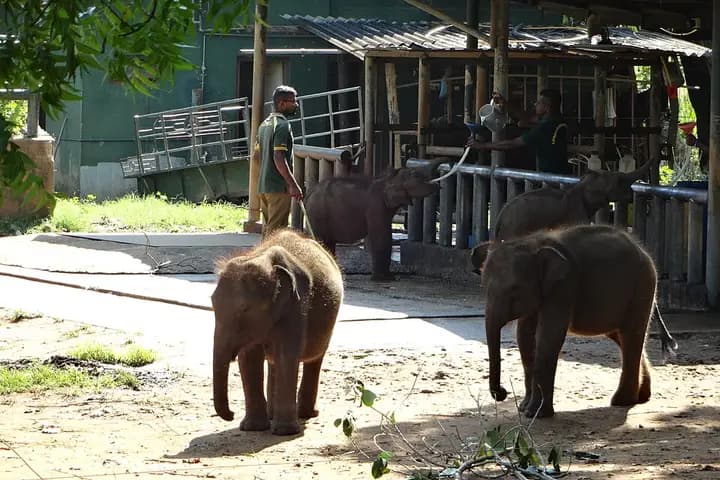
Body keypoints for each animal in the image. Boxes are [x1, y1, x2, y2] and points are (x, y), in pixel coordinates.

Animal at [211, 229, 343, 435]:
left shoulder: (296, 306)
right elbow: (248, 359)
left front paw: (285, 432)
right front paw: (252, 428)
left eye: (244, 309)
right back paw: (272, 415)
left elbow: (286, 355)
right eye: (212, 304)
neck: (262, 258)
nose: (231, 414)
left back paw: (306, 414)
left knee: (314, 358)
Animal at [303, 165, 440, 281]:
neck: (388, 179)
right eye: (416, 176)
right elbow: (382, 236)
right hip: (318, 214)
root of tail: (308, 194)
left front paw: (389, 277)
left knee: (328, 243)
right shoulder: (376, 206)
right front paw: (384, 279)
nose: (437, 184)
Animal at [472, 224, 677, 418]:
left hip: (642, 288)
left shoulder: (564, 287)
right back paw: (641, 397)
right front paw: (524, 409)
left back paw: (622, 401)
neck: (533, 243)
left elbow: (549, 336)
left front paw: (536, 414)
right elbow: (524, 337)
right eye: (484, 286)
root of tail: (643, 250)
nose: (502, 392)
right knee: (623, 338)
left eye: (514, 290)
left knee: (631, 335)